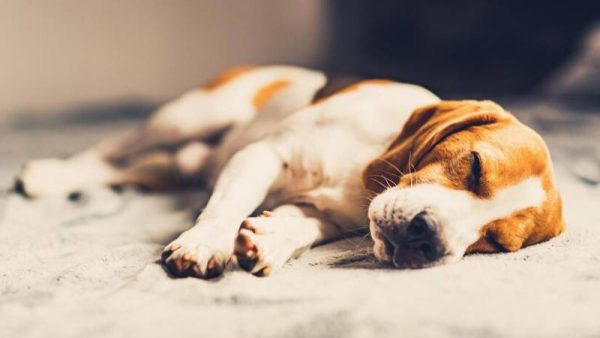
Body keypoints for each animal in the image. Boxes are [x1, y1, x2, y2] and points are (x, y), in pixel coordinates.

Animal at [15, 65, 568, 278]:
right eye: (474, 167)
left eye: (494, 243)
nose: (428, 237)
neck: (365, 169)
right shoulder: (262, 156)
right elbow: (227, 207)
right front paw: (206, 243)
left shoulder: (328, 214)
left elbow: (302, 227)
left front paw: (270, 239)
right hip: (189, 114)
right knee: (110, 150)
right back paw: (48, 176)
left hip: (180, 158)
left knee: (137, 169)